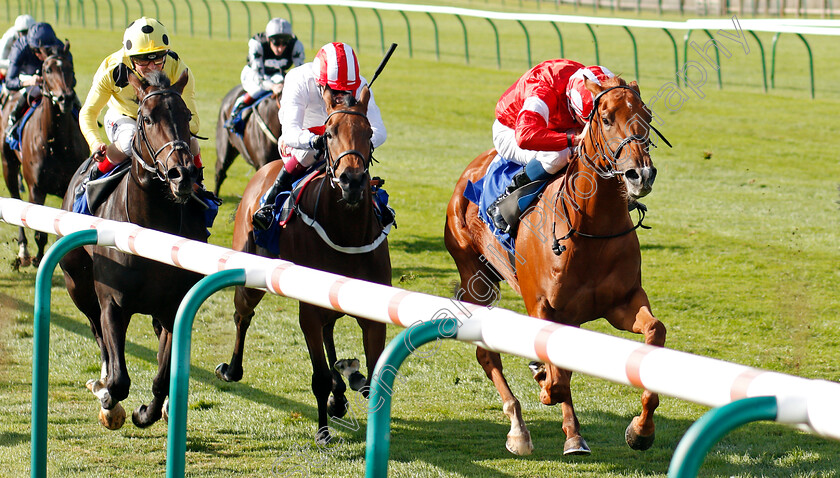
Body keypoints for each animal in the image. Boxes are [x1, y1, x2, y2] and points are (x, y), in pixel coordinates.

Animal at [0, 43, 87, 268]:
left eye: (70, 69)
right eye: (47, 70)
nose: (65, 98)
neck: (56, 144)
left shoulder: (68, 188)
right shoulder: (36, 188)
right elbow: (39, 233)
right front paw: (38, 259)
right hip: (8, 165)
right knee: (15, 200)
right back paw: (23, 251)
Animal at [59, 69, 207, 432]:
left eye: (186, 116)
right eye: (148, 118)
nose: (181, 174)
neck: (150, 228)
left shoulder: (172, 308)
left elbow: (162, 376)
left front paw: (148, 411)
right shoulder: (112, 303)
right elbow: (118, 379)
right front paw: (107, 400)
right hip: (77, 285)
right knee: (97, 334)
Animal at [215, 85, 388, 444]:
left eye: (368, 133)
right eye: (330, 133)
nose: (351, 181)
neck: (347, 231)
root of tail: (264, 169)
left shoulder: (373, 314)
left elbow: (373, 375)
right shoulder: (308, 308)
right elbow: (318, 375)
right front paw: (322, 431)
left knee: (329, 329)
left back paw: (341, 388)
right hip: (252, 275)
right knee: (242, 314)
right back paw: (232, 369)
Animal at [442, 76, 668, 458]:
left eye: (647, 116)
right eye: (606, 118)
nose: (641, 174)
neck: (593, 228)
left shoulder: (623, 302)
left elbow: (655, 332)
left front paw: (641, 431)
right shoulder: (542, 306)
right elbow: (558, 380)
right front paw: (543, 381)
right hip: (477, 276)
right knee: (487, 354)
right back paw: (520, 428)